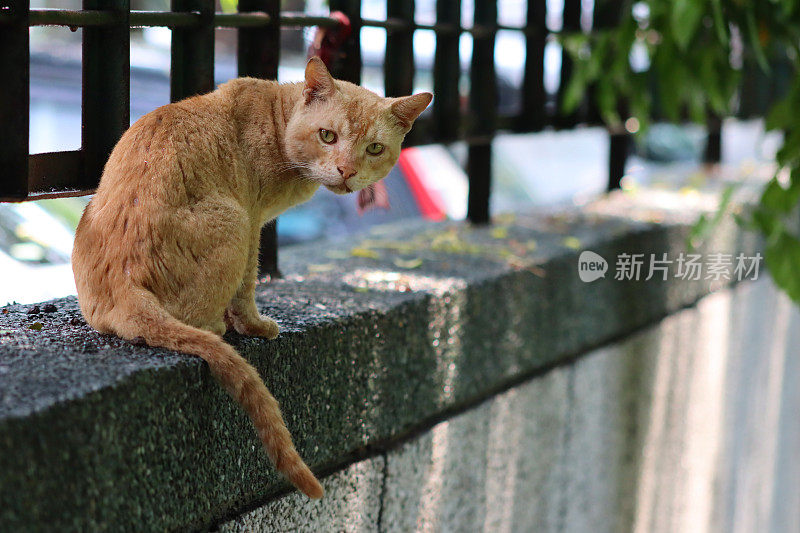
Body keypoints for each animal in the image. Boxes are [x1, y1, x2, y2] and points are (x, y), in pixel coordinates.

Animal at [71, 56, 432, 496]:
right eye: (328, 136)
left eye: (374, 148)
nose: (346, 171)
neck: (278, 121)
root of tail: (123, 286)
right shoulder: (254, 220)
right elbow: (247, 287)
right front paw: (256, 326)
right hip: (234, 221)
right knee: (196, 322)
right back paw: (216, 326)